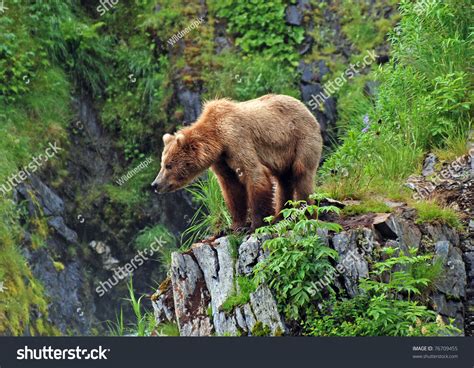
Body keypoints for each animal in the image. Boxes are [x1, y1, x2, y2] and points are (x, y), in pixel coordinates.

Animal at [152, 93, 322, 231]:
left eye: (168, 165)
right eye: (162, 164)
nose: (155, 184)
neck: (217, 140)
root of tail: (306, 108)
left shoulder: (237, 139)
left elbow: (254, 175)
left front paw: (254, 225)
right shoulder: (221, 160)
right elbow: (231, 187)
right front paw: (234, 226)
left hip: (301, 139)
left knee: (301, 174)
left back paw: (306, 213)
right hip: (284, 155)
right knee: (283, 180)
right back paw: (279, 216)